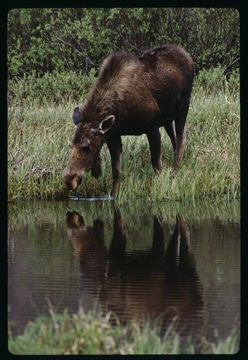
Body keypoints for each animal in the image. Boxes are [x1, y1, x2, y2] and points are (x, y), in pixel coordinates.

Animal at [64, 44, 196, 194]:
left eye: (87, 147)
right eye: (71, 145)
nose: (69, 181)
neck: (121, 113)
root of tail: (188, 57)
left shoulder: (152, 126)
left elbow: (156, 163)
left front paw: (158, 186)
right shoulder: (113, 135)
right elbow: (116, 170)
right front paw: (113, 194)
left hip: (183, 106)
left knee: (181, 140)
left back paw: (175, 171)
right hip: (168, 117)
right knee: (175, 140)